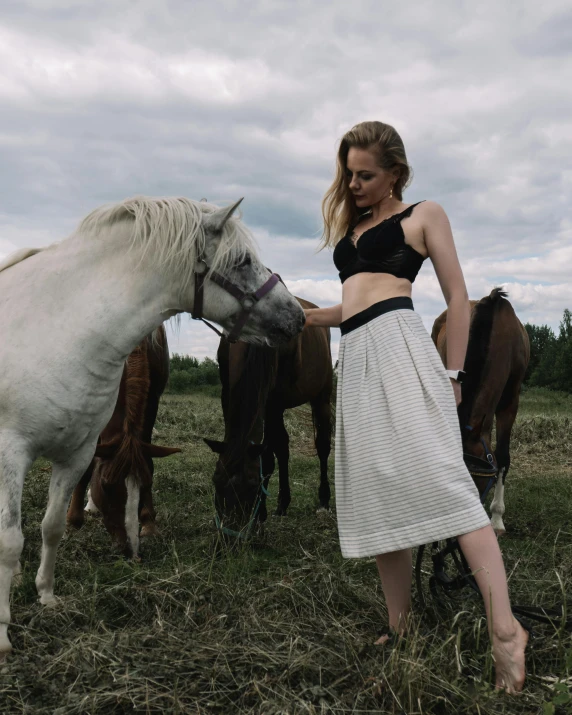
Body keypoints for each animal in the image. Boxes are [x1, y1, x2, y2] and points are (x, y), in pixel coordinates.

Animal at [66, 326, 180, 560]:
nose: (130, 549)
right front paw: (73, 521)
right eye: (106, 485)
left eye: (147, 483)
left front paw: (149, 523)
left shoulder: (151, 403)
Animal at [206, 294, 332, 536]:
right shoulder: (229, 393)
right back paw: (283, 503)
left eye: (253, 485)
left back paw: (324, 501)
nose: (229, 537)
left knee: (322, 445)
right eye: (216, 479)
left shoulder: (272, 401)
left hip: (321, 396)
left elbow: (266, 457)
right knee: (283, 448)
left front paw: (260, 514)